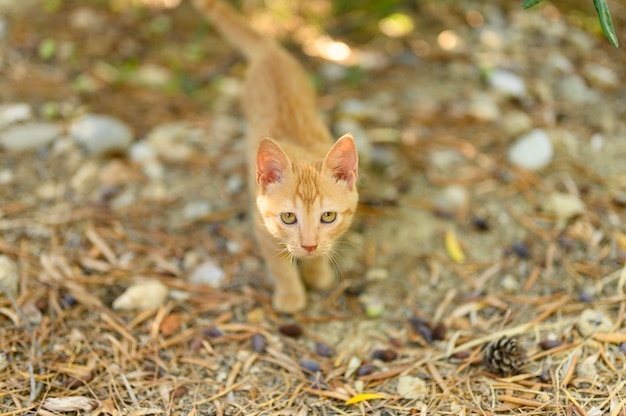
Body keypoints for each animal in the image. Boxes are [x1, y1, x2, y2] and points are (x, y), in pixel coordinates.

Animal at [195, 0, 360, 312]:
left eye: (328, 216)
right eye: (287, 217)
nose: (308, 245)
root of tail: (270, 51)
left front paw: (316, 271)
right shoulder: (262, 226)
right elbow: (279, 263)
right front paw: (291, 293)